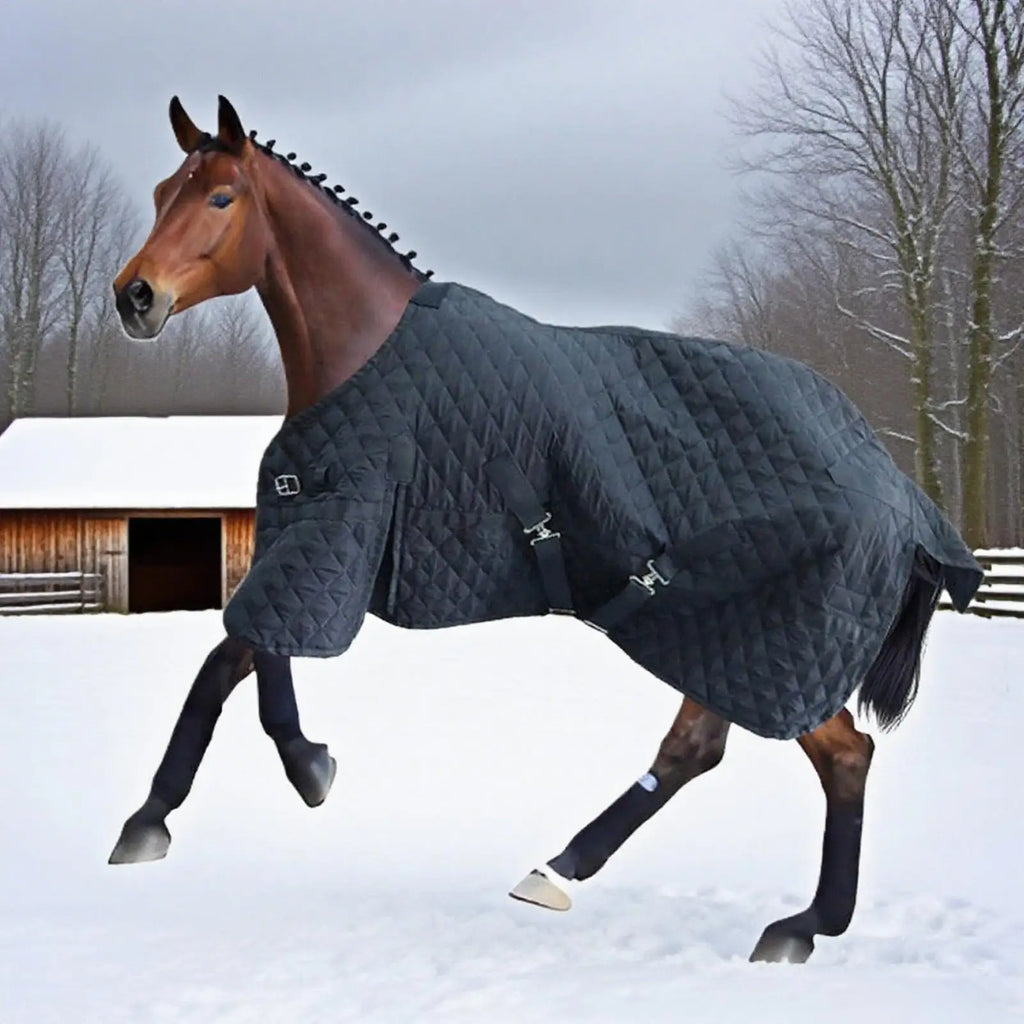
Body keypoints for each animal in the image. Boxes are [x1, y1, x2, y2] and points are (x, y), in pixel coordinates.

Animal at [109, 96, 980, 964]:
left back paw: (798, 924)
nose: (135, 297)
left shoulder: (339, 535)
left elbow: (245, 662)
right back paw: (573, 872)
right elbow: (240, 659)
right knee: (708, 750)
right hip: (717, 634)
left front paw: (281, 777)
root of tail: (893, 482)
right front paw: (179, 809)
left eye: (221, 197)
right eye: (160, 194)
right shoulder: (317, 541)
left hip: (764, 640)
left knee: (841, 757)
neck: (366, 352)